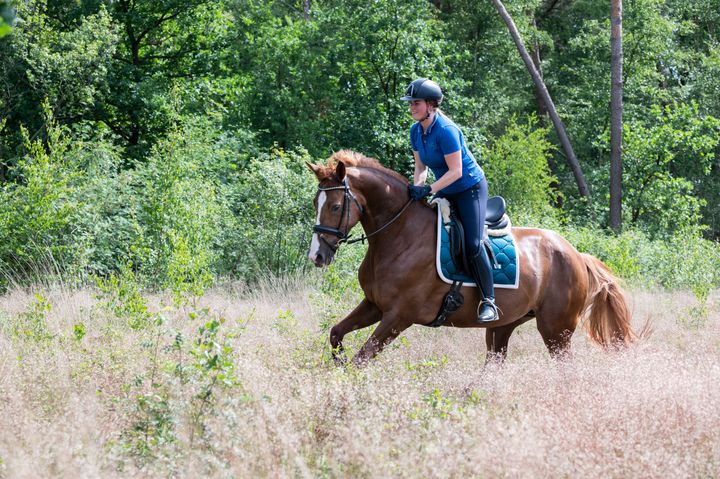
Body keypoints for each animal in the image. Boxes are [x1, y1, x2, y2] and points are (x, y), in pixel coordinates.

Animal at [306, 151, 632, 368]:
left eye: (335, 206)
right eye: (315, 203)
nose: (317, 256)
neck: (399, 234)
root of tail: (576, 254)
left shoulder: (398, 317)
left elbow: (362, 358)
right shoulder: (374, 305)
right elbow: (336, 334)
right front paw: (338, 364)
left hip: (556, 330)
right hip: (504, 326)